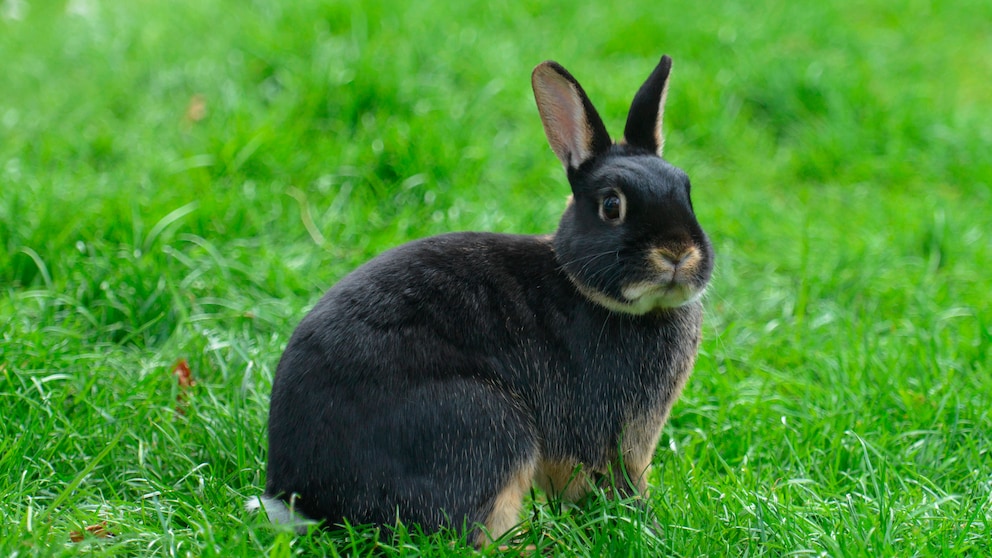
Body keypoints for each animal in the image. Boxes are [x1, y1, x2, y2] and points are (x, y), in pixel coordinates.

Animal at [248, 57, 712, 548]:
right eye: (611, 205)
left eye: (687, 193)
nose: (678, 252)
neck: (584, 287)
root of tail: (305, 500)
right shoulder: (608, 431)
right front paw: (645, 526)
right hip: (484, 425)